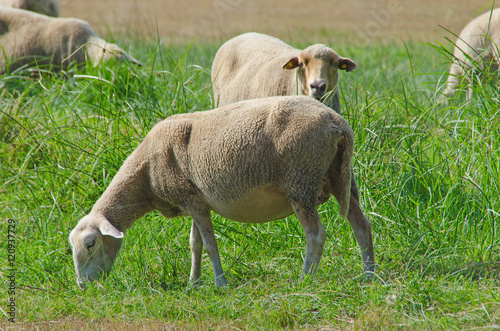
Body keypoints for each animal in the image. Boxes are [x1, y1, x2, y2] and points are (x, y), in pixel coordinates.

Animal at [69, 95, 376, 288]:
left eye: (90, 244)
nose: (83, 286)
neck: (145, 176)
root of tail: (338, 124)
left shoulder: (192, 201)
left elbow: (210, 245)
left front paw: (220, 282)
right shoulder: (194, 201)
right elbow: (195, 244)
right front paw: (193, 282)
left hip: (300, 181)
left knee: (315, 234)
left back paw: (305, 279)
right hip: (341, 176)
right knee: (361, 224)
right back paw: (369, 274)